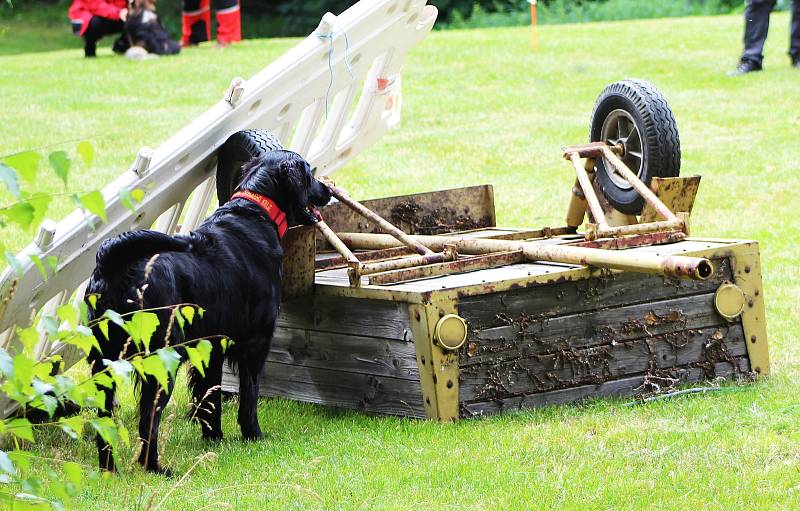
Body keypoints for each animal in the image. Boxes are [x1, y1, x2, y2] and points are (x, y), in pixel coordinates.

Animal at [83, 150, 328, 474]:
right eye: (309, 173)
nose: (328, 191)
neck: (254, 213)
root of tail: (113, 263)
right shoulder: (256, 342)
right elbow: (249, 396)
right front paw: (253, 435)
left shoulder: (211, 345)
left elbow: (209, 396)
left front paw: (214, 438)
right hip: (162, 360)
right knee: (149, 417)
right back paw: (156, 468)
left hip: (105, 362)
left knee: (105, 420)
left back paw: (109, 468)